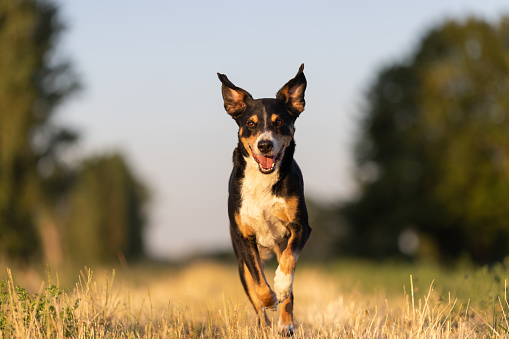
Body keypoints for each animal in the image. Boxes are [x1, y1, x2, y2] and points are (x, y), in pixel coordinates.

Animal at [216, 65, 312, 336]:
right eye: (250, 123)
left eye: (280, 122)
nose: (265, 144)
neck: (262, 180)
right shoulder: (244, 238)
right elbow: (260, 285)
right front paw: (269, 299)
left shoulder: (300, 227)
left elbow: (288, 264)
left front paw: (280, 286)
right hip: (241, 264)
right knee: (255, 296)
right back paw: (265, 326)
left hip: (280, 243)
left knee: (289, 289)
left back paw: (286, 324)